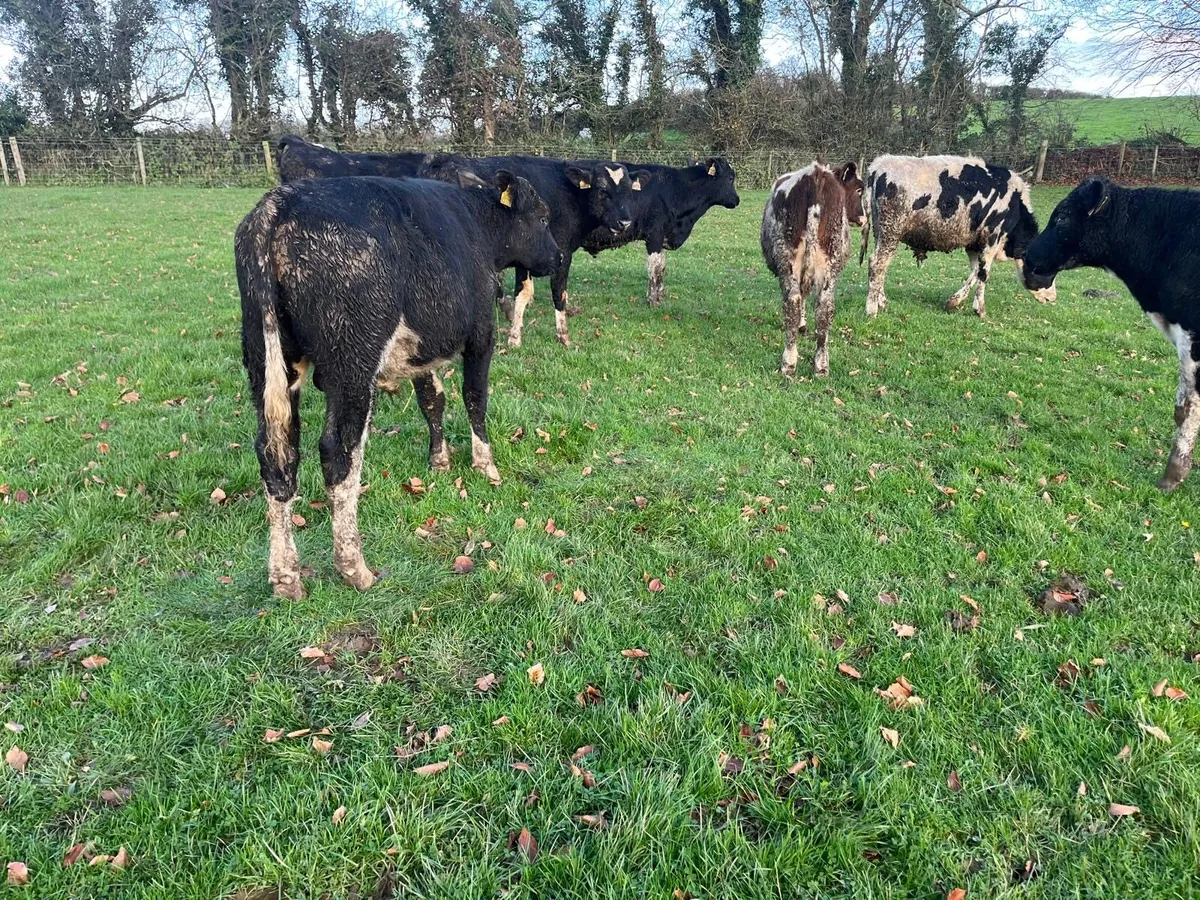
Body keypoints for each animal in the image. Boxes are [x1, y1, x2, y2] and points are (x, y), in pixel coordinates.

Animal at [234, 171, 560, 599]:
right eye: (542, 217)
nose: (558, 257)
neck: (478, 225)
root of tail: (278, 203)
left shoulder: (420, 350)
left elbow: (432, 400)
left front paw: (439, 460)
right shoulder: (481, 334)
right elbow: (474, 397)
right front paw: (485, 465)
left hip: (267, 359)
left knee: (277, 456)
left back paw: (286, 578)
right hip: (353, 365)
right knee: (339, 453)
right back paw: (355, 568)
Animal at [422, 153, 650, 348]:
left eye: (629, 191)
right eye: (603, 191)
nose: (624, 222)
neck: (570, 196)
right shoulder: (558, 253)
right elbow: (552, 292)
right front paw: (555, 336)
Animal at [580, 157, 740, 306]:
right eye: (730, 178)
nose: (737, 200)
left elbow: (662, 265)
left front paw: (660, 297)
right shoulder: (654, 234)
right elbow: (655, 267)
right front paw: (653, 301)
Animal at [761, 162, 865, 377]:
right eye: (859, 189)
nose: (863, 219)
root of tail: (816, 176)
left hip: (794, 261)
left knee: (803, 305)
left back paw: (802, 364)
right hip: (819, 263)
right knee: (815, 308)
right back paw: (807, 364)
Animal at [860, 154, 1054, 318]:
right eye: (1048, 271)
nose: (1053, 298)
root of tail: (879, 164)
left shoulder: (974, 244)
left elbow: (974, 271)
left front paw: (953, 302)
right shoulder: (991, 239)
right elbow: (984, 274)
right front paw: (980, 310)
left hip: (881, 233)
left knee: (879, 266)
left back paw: (882, 302)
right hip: (890, 232)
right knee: (877, 264)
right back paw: (872, 310)